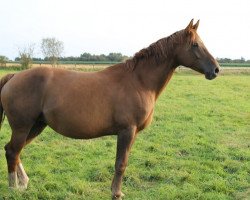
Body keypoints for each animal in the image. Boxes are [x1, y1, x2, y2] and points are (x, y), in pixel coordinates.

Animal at [0, 19, 219, 199]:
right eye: (195, 45)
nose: (215, 70)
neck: (138, 81)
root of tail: (13, 76)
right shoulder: (126, 131)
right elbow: (120, 164)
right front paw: (116, 193)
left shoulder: (132, 133)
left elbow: (123, 162)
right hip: (22, 127)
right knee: (12, 151)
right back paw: (13, 188)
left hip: (36, 125)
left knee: (15, 151)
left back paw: (23, 183)